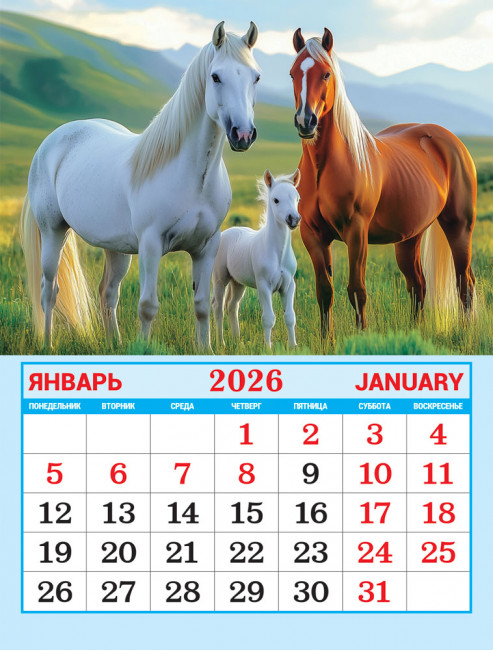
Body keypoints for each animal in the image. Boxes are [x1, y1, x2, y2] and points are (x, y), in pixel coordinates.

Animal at [20, 21, 260, 349]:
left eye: (256, 77)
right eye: (215, 76)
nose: (243, 134)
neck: (194, 178)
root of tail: (53, 139)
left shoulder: (206, 247)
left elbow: (201, 306)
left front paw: (207, 348)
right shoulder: (150, 245)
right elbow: (148, 306)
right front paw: (144, 348)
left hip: (115, 248)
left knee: (108, 292)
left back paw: (114, 344)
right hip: (53, 232)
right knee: (49, 290)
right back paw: (47, 345)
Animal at [212, 169, 301, 348]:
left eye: (297, 198)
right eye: (276, 199)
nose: (294, 219)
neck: (278, 253)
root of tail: (225, 233)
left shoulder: (289, 285)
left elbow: (290, 317)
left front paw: (293, 346)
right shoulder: (263, 286)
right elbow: (268, 318)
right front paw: (268, 347)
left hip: (237, 283)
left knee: (232, 306)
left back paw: (237, 341)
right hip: (220, 279)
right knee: (218, 307)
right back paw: (221, 343)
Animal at [290, 28, 476, 339]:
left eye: (326, 74)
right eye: (293, 73)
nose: (306, 121)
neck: (322, 168)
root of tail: (450, 140)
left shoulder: (356, 232)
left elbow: (357, 290)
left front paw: (360, 338)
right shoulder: (312, 235)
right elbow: (324, 292)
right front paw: (327, 342)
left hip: (459, 227)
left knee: (465, 282)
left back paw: (465, 333)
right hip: (409, 237)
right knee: (418, 285)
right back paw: (416, 332)